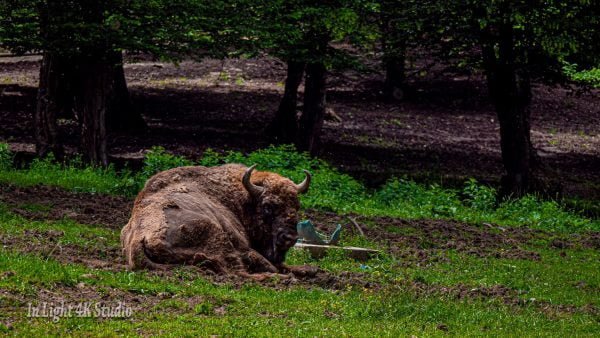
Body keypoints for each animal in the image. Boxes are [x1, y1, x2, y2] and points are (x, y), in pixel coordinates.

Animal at [119, 163, 312, 278]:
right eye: (268, 206)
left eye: (297, 205)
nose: (290, 238)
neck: (242, 198)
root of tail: (139, 240)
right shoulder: (242, 245)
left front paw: (308, 269)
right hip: (216, 235)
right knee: (240, 272)